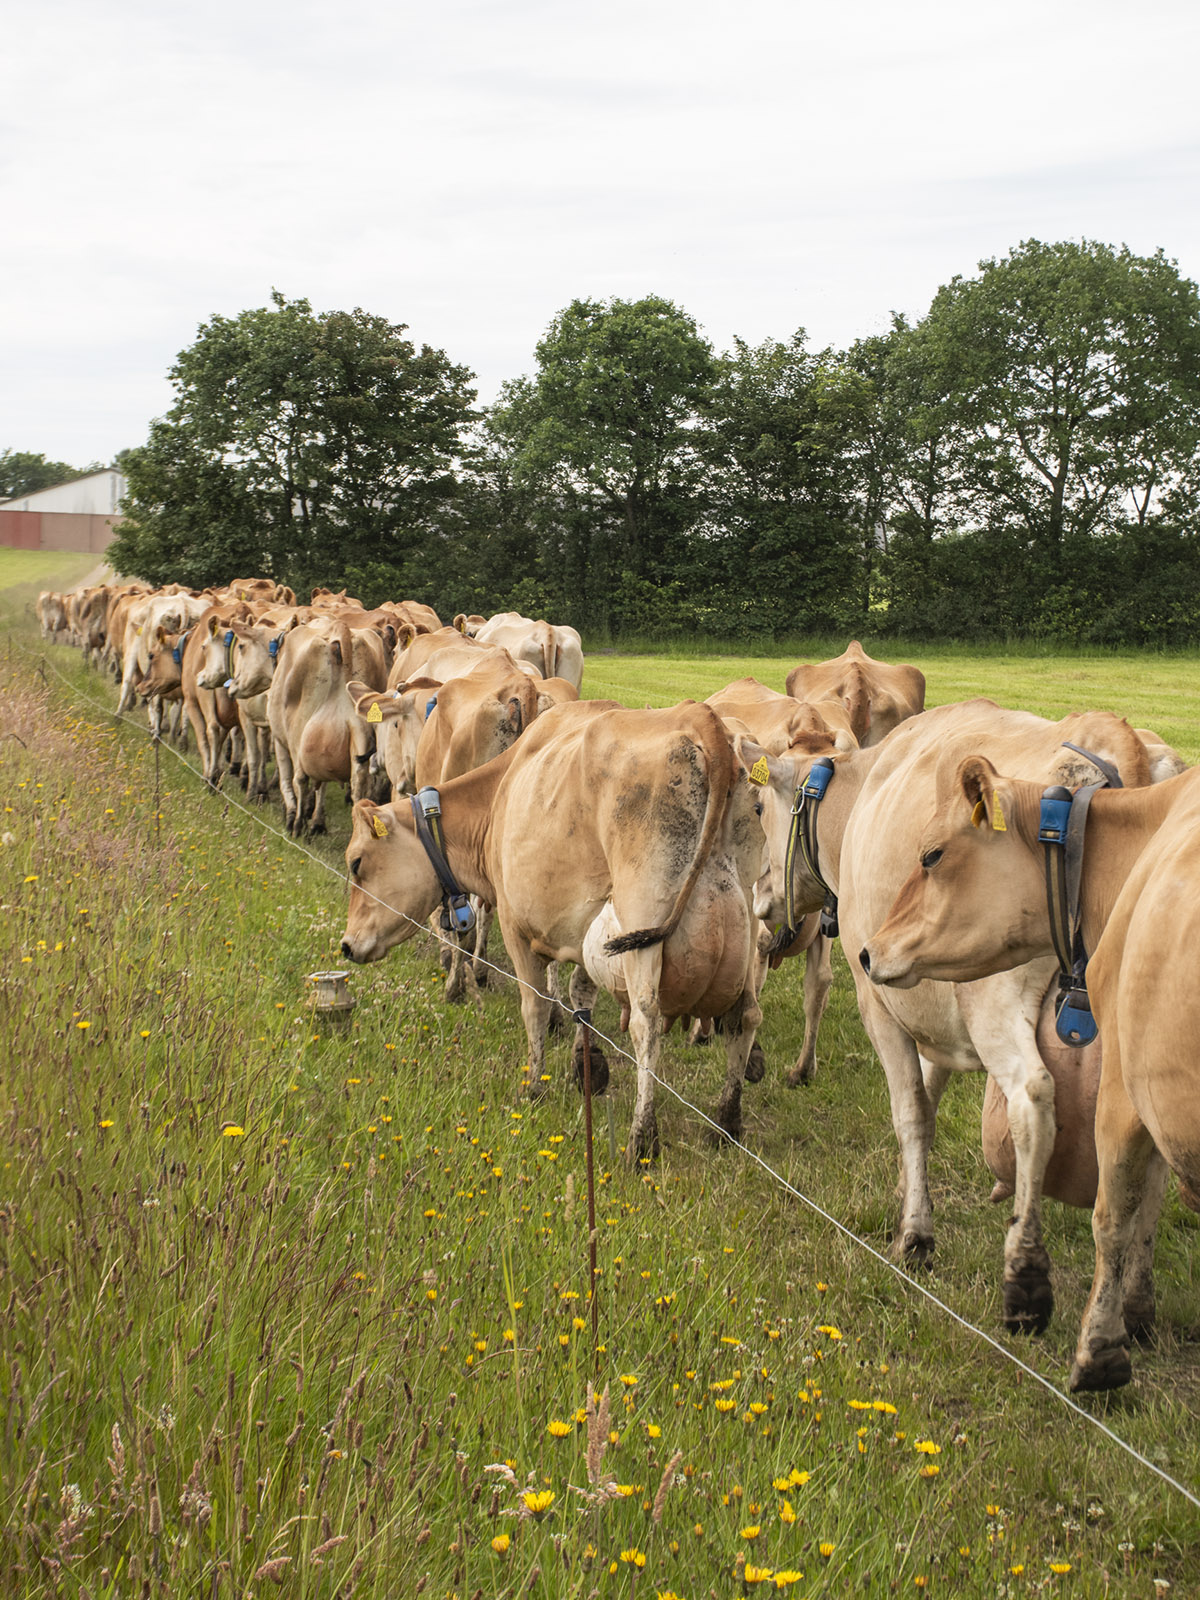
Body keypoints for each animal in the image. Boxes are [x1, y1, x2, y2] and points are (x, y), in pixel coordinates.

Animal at [342, 697, 764, 1152]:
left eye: (357, 863)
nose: (346, 945)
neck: (499, 795)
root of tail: (700, 717)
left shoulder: (515, 925)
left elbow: (536, 1006)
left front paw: (534, 1084)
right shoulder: (582, 926)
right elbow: (582, 994)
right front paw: (587, 1068)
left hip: (644, 911)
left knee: (646, 1025)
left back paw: (641, 1138)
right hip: (745, 918)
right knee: (745, 1016)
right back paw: (727, 1121)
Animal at [748, 700, 1171, 1337]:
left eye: (756, 809)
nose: (759, 899)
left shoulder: (879, 998)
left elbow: (910, 1111)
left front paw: (916, 1235)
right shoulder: (929, 1004)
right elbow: (928, 1095)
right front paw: (907, 1191)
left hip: (998, 1003)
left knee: (1032, 1101)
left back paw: (1026, 1274)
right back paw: (1139, 1301)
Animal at [857, 758, 1200, 1388]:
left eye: (932, 855)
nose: (869, 952)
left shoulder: (1122, 1083)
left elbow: (1112, 1215)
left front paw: (1098, 1349)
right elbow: (1145, 1199)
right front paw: (1133, 1314)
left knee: (1031, 1100)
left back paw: (1024, 1275)